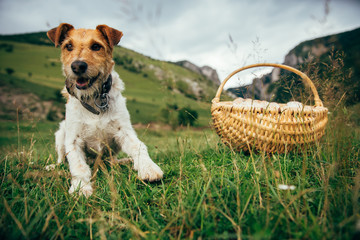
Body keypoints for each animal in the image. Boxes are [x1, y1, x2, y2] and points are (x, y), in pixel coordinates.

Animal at [46, 23, 163, 198]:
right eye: (68, 46)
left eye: (96, 46)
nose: (77, 66)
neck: (93, 99)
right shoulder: (73, 140)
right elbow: (78, 166)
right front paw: (81, 187)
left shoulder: (124, 132)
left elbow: (139, 147)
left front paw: (148, 168)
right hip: (60, 134)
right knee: (62, 159)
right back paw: (54, 166)